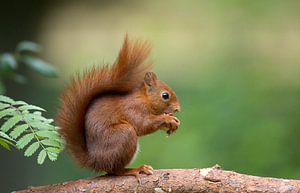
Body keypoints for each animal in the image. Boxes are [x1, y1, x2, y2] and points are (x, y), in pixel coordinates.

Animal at [57, 35, 182, 180]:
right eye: (165, 95)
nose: (178, 109)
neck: (144, 99)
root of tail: (95, 161)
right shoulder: (133, 108)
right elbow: (143, 124)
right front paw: (168, 119)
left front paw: (173, 122)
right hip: (124, 136)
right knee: (115, 171)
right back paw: (135, 169)